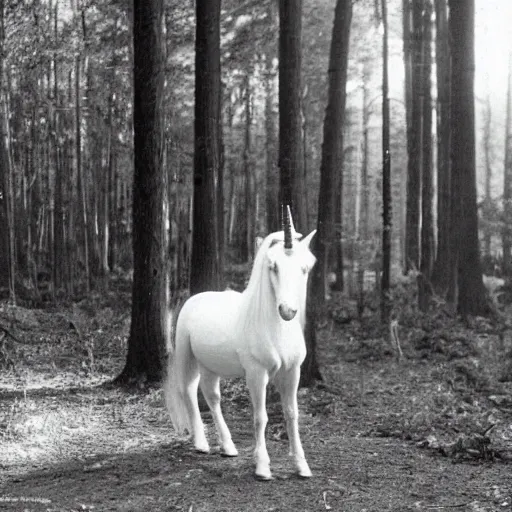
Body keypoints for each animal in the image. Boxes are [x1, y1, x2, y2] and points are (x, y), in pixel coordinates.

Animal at [164, 212, 316, 480]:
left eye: (304, 268)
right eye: (273, 266)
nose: (287, 311)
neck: (275, 328)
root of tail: (195, 298)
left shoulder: (292, 372)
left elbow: (291, 414)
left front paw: (301, 465)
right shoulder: (256, 374)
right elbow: (260, 417)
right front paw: (262, 467)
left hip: (209, 366)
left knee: (211, 396)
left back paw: (227, 446)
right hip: (186, 356)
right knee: (189, 391)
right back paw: (201, 443)